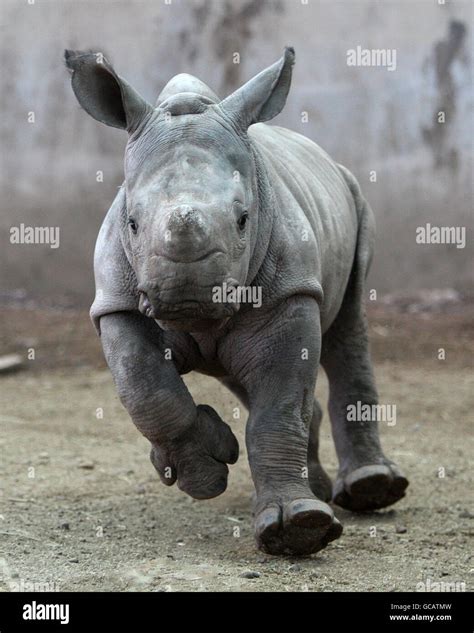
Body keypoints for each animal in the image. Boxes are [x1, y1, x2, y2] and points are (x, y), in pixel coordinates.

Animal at [65, 47, 410, 556]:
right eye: (132, 223)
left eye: (244, 218)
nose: (188, 295)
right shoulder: (118, 303)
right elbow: (147, 390)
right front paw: (204, 472)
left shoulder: (291, 291)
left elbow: (278, 409)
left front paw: (298, 530)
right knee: (236, 374)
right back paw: (317, 486)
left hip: (353, 197)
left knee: (348, 329)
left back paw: (369, 490)